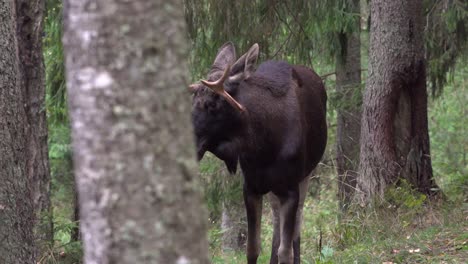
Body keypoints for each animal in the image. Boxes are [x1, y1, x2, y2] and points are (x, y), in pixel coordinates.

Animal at [188, 42, 328, 262]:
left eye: (212, 103)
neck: (262, 145)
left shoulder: (290, 189)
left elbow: (285, 252)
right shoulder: (251, 187)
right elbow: (252, 248)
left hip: (306, 174)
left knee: (297, 223)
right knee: (277, 222)